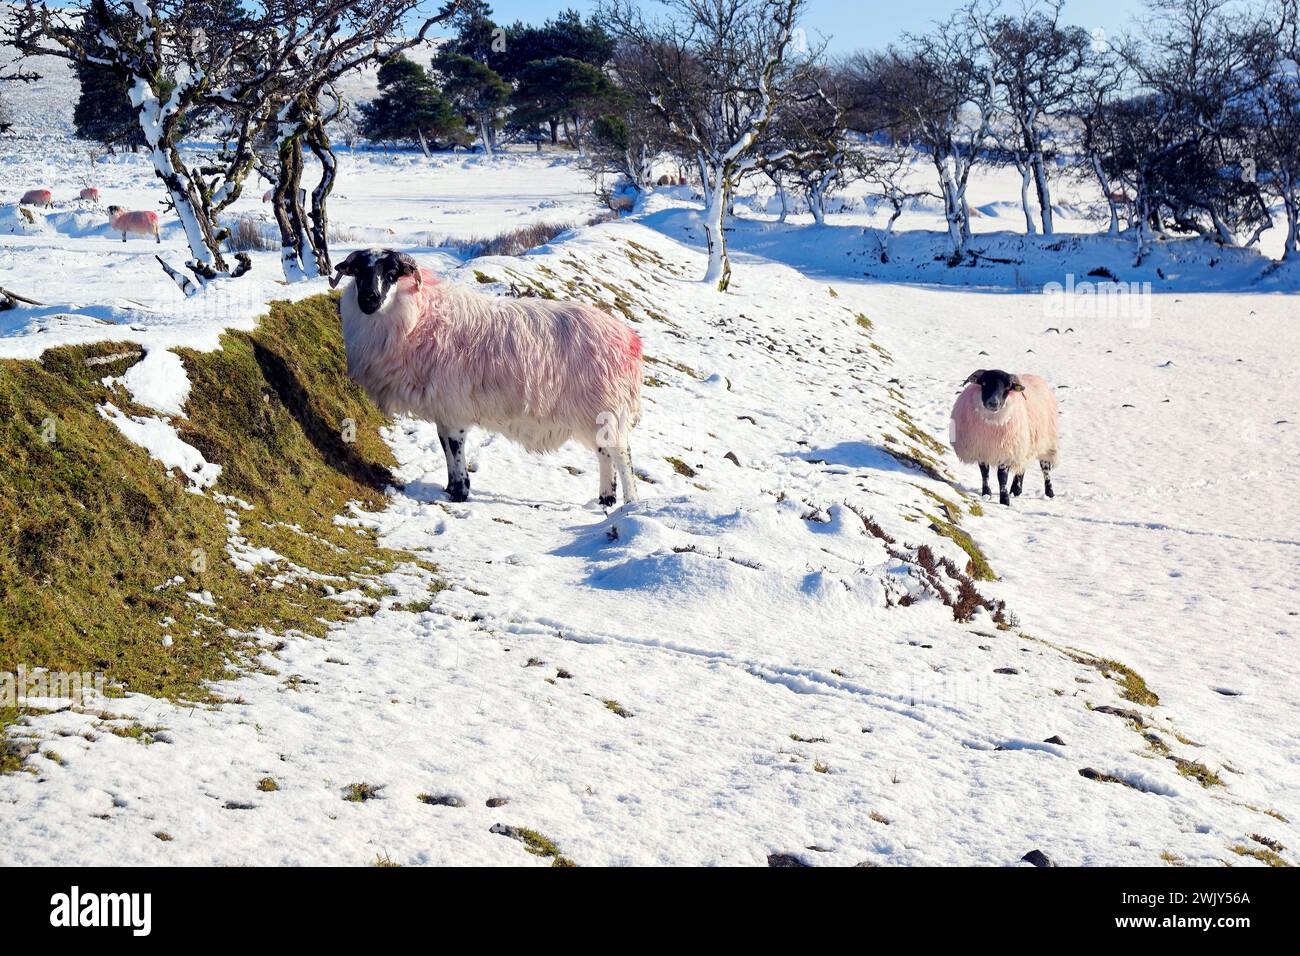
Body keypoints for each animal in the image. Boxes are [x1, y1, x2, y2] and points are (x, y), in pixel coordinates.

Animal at [332, 248, 642, 509]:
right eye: (358, 272)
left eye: (393, 273)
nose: (369, 299)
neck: (419, 318)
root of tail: (628, 339)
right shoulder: (442, 410)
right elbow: (445, 447)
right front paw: (450, 488)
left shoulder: (454, 408)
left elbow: (455, 449)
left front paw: (460, 493)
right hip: (595, 412)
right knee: (604, 453)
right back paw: (605, 498)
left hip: (604, 406)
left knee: (622, 454)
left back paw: (628, 504)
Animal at [951, 369, 1060, 509]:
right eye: (984, 383)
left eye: (1008, 387)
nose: (993, 403)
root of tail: (1035, 377)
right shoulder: (981, 449)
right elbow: (984, 473)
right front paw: (986, 493)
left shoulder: (1006, 451)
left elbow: (1002, 477)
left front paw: (1004, 500)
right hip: (1024, 445)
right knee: (1021, 467)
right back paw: (1016, 490)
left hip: (1046, 442)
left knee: (1045, 468)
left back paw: (1049, 493)